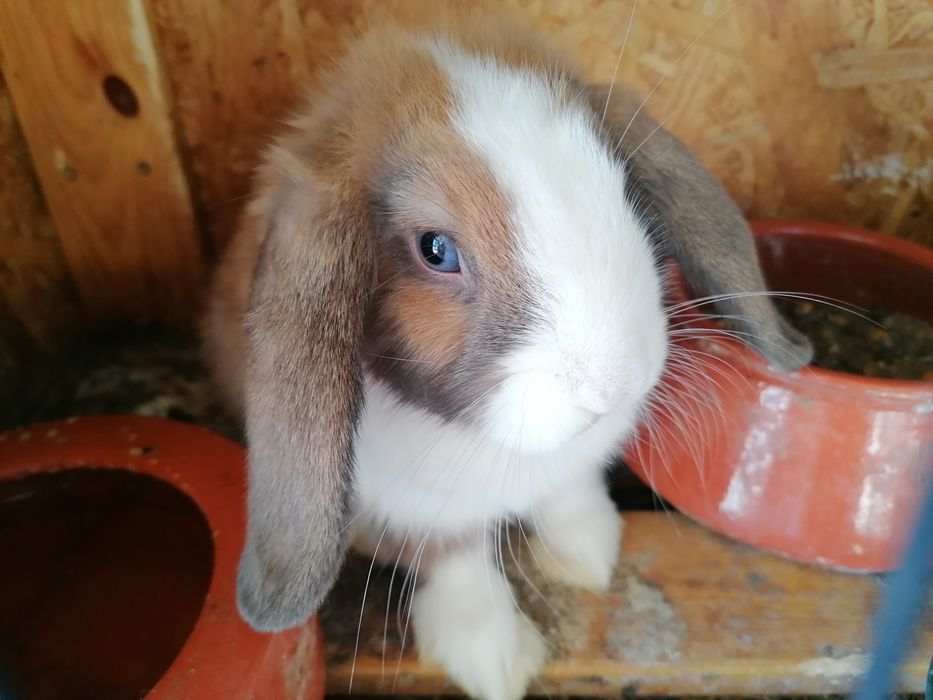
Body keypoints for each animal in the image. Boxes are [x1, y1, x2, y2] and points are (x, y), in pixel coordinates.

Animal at [202, 7, 812, 700]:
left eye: (622, 188)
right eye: (435, 249)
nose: (612, 386)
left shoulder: (569, 468)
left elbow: (569, 491)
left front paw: (587, 554)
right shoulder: (418, 512)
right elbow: (458, 560)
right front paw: (493, 658)